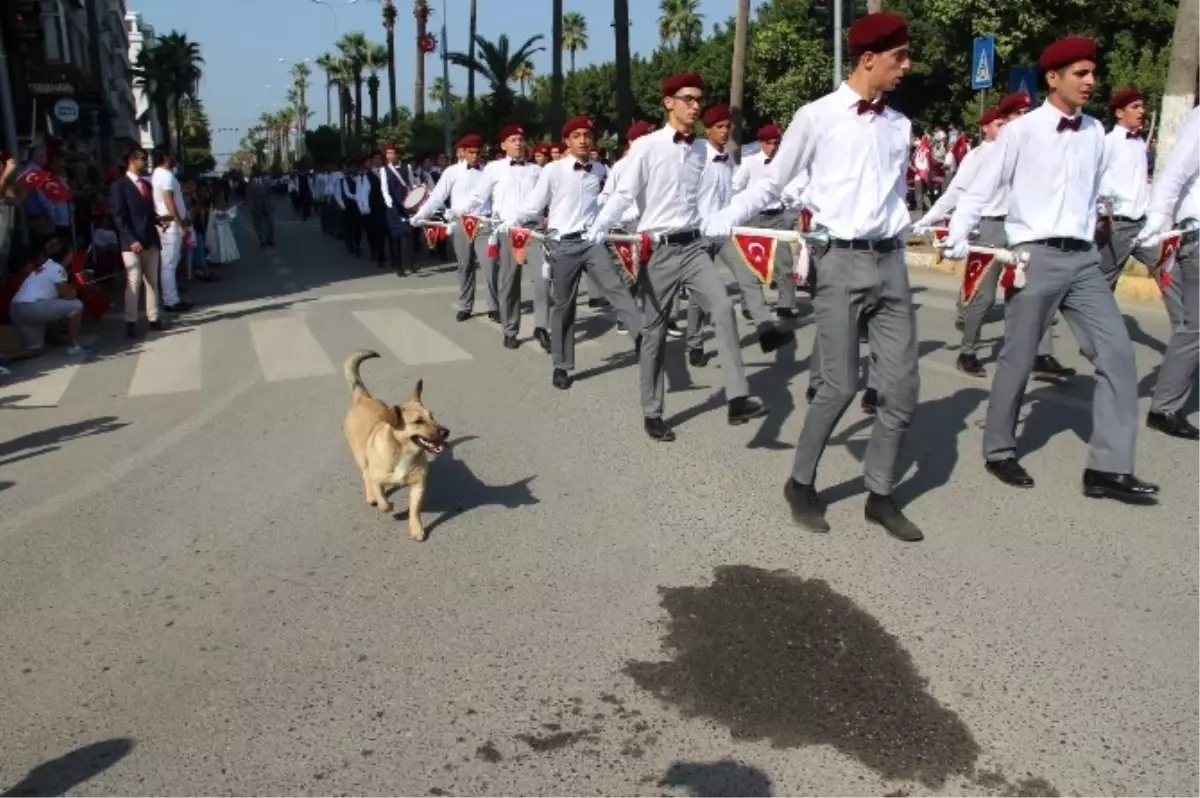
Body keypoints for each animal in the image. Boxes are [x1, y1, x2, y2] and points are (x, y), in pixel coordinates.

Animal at [345, 350, 451, 542]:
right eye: (418, 422)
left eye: (432, 416)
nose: (446, 432)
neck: (404, 452)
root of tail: (363, 399)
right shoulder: (377, 479)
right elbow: (383, 502)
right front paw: (387, 505)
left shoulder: (419, 485)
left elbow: (415, 510)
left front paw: (416, 529)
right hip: (361, 457)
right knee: (365, 475)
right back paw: (371, 496)